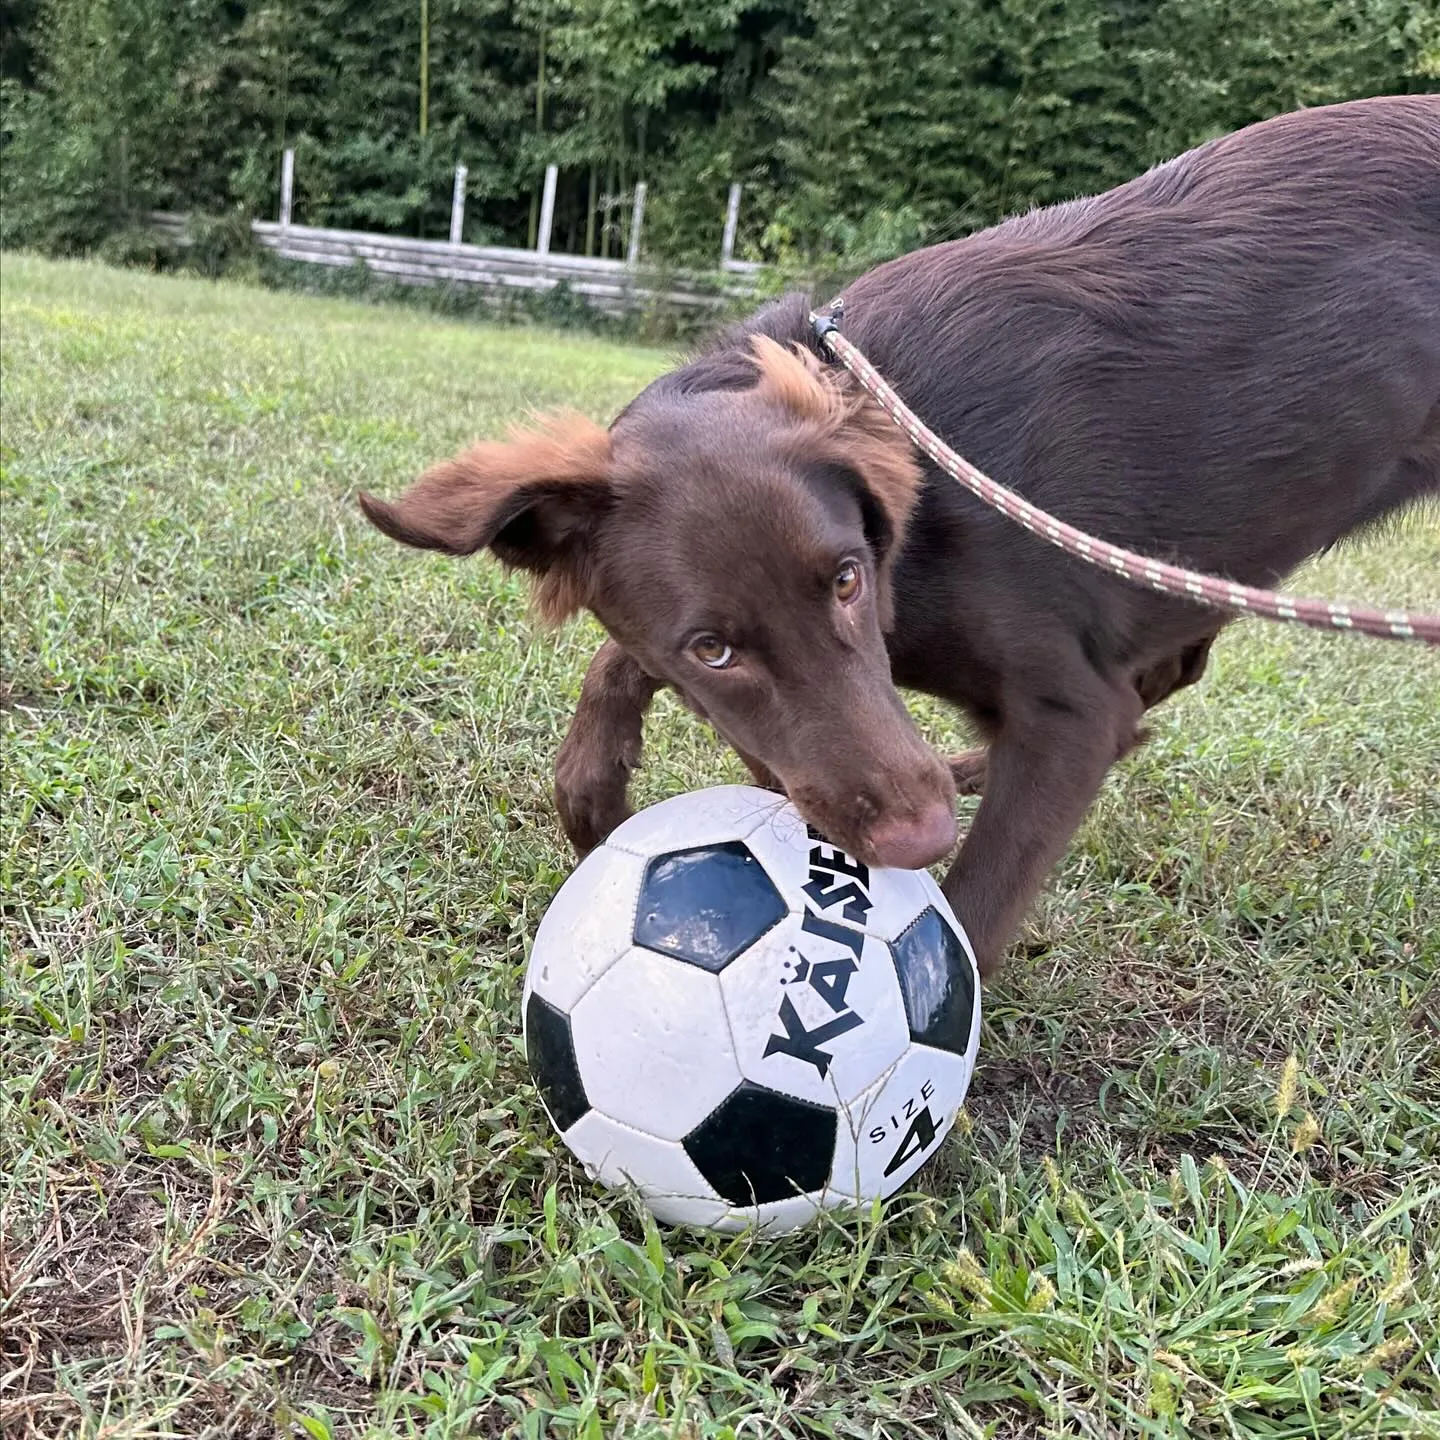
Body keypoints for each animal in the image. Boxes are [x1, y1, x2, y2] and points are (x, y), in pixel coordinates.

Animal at [360, 98, 1440, 979]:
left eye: (846, 580)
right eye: (712, 650)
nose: (921, 834)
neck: (916, 545)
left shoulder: (1067, 711)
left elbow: (977, 908)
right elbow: (622, 664)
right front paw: (592, 785)